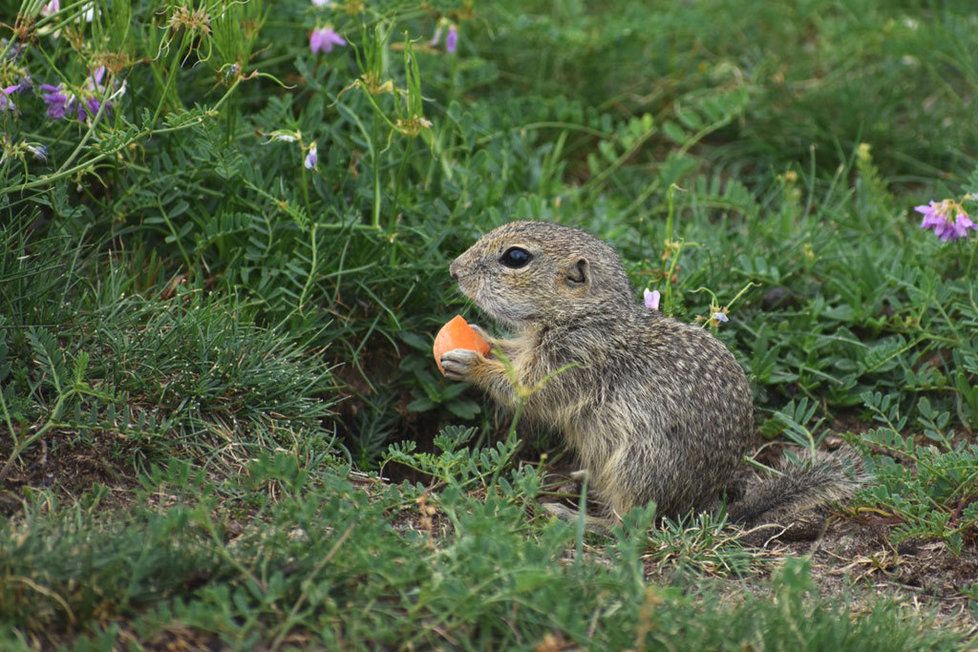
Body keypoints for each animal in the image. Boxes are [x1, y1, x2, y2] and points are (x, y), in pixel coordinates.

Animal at [442, 219, 860, 528]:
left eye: (515, 257)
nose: (454, 269)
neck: (584, 315)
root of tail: (701, 508)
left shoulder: (571, 359)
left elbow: (524, 391)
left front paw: (471, 363)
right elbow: (513, 356)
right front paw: (483, 337)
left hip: (637, 467)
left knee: (628, 525)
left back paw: (573, 516)